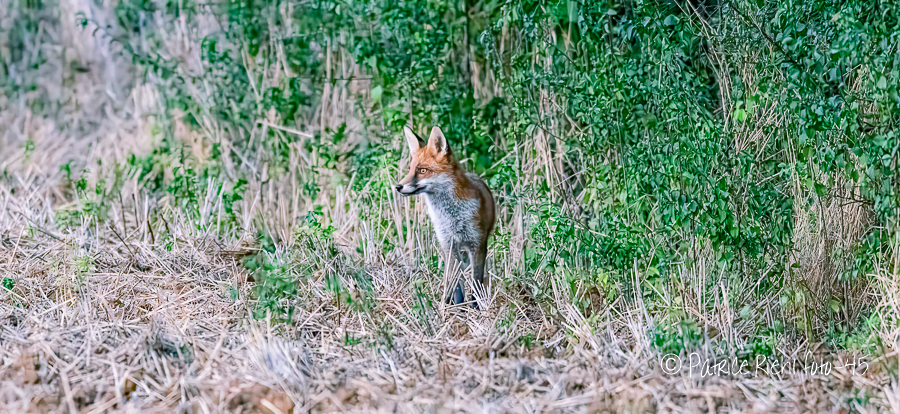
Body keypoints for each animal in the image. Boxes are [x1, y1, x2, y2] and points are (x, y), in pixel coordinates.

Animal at [395, 125, 495, 307]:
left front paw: (476, 309)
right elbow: (457, 285)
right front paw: (456, 308)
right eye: (410, 169)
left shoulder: (477, 243)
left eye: (422, 170)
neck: (452, 217)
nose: (398, 187)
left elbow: (476, 283)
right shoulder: (449, 245)